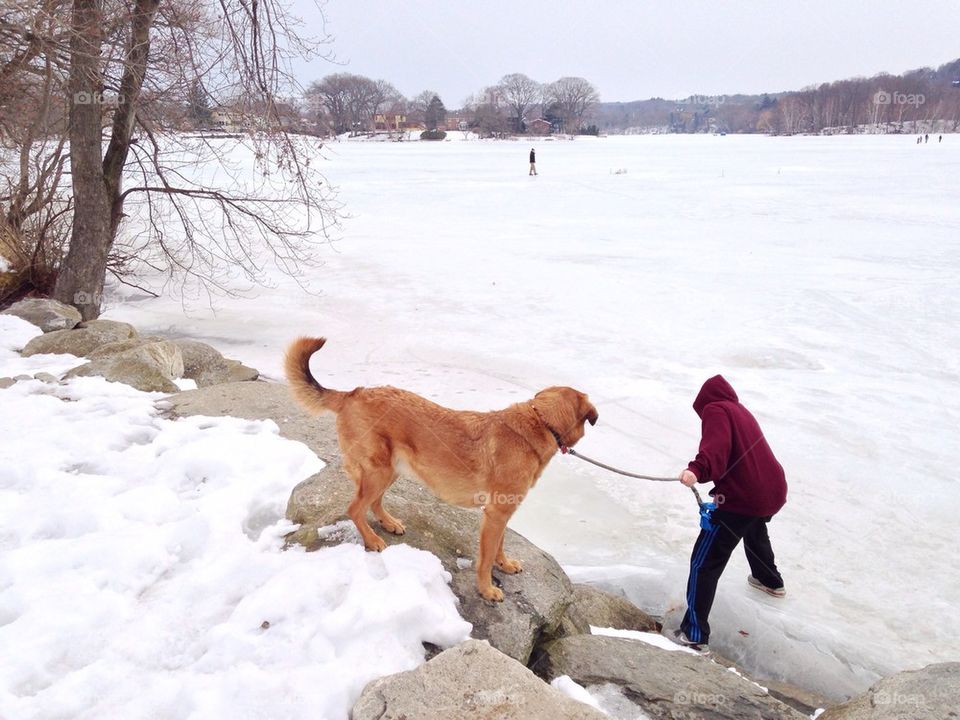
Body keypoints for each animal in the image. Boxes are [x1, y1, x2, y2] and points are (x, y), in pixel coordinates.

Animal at [284, 338, 596, 600]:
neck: (541, 422)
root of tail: (352, 394)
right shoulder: (496, 514)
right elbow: (485, 558)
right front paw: (486, 589)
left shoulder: (503, 511)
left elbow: (500, 545)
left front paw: (505, 564)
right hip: (379, 471)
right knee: (355, 508)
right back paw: (372, 540)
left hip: (391, 470)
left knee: (372, 503)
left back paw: (389, 523)